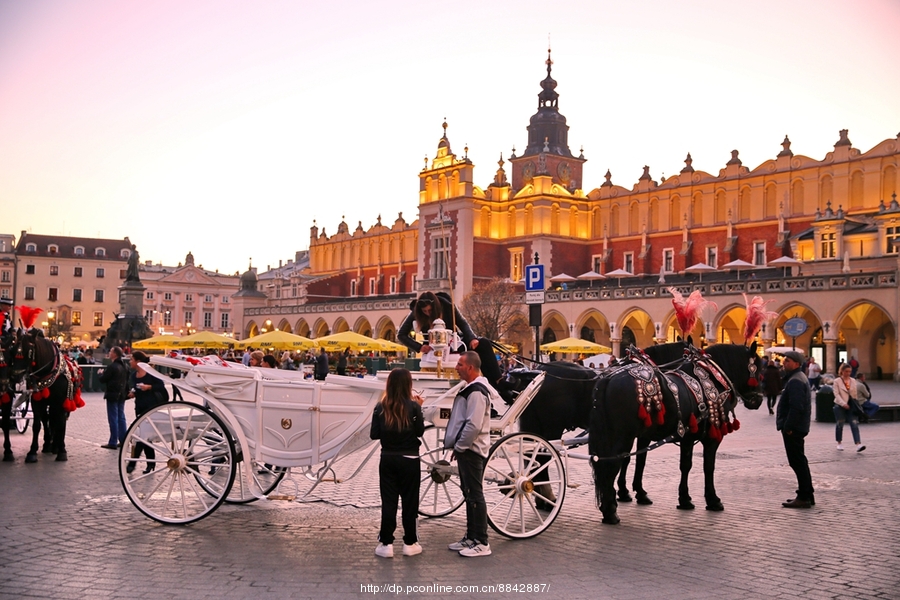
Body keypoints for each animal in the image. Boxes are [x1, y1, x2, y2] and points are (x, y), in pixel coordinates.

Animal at [588, 342, 764, 524]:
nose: (758, 400)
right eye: (759, 371)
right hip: (622, 436)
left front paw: (684, 498)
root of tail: (607, 379)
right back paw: (611, 512)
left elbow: (683, 465)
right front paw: (713, 500)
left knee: (605, 464)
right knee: (611, 464)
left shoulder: (685, 435)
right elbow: (708, 466)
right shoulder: (712, 437)